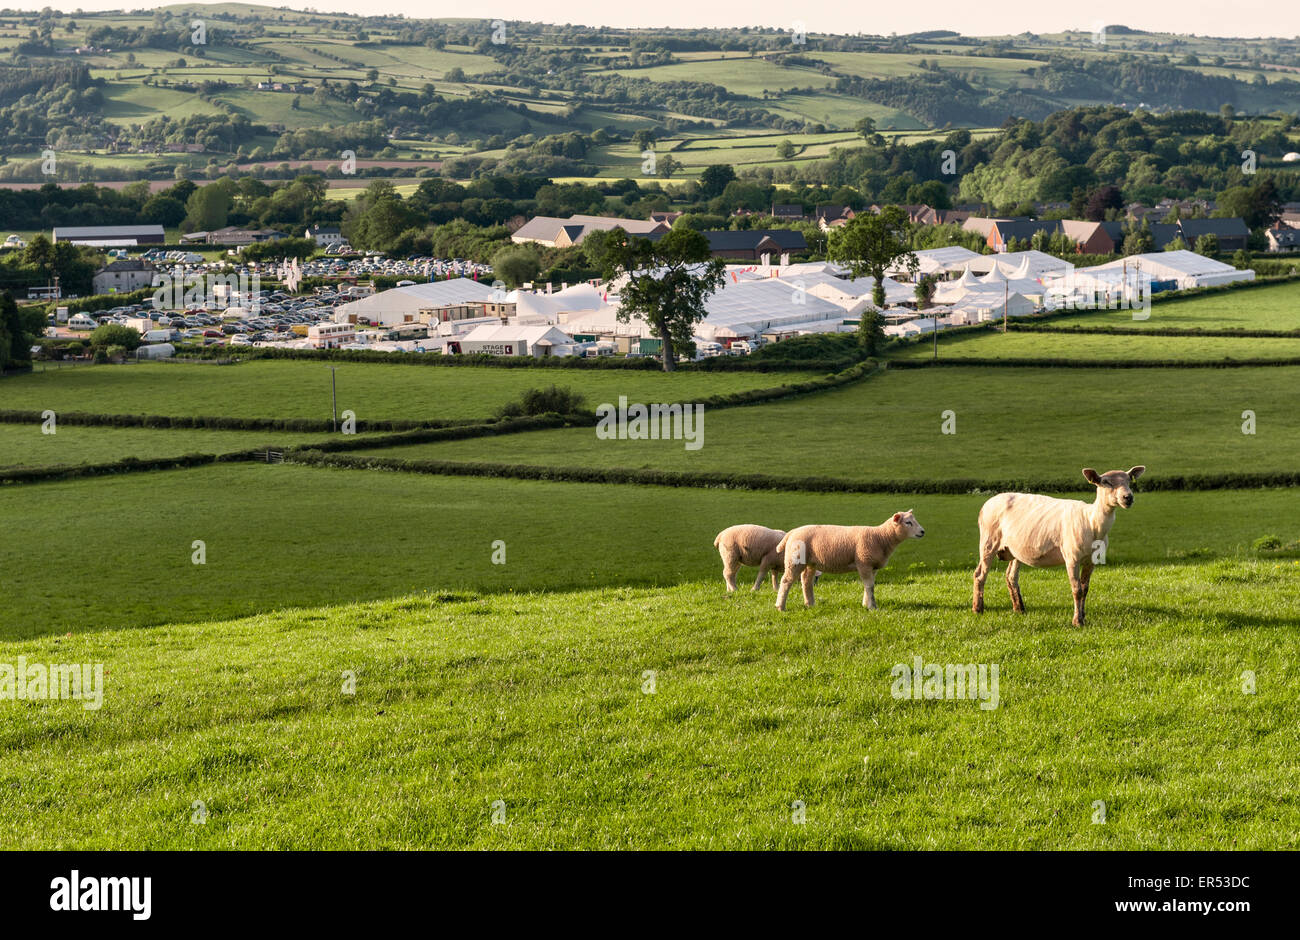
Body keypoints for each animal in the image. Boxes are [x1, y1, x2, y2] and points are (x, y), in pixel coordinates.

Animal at [769, 512, 925, 613]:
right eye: (908, 522)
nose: (923, 531)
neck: (881, 537)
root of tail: (792, 532)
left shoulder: (872, 566)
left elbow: (869, 586)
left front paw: (866, 604)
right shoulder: (864, 562)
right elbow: (870, 586)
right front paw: (872, 607)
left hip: (811, 562)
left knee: (806, 581)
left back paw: (810, 604)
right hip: (794, 559)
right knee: (786, 581)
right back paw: (780, 607)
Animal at [977, 468, 1149, 629]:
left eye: (1129, 481)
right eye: (1105, 482)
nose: (1128, 497)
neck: (1092, 521)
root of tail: (987, 503)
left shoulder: (1091, 561)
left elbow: (1085, 589)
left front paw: (1083, 616)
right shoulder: (1072, 557)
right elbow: (1077, 590)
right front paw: (1077, 621)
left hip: (1015, 549)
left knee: (1011, 576)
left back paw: (1019, 609)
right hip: (988, 540)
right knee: (980, 574)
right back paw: (978, 609)